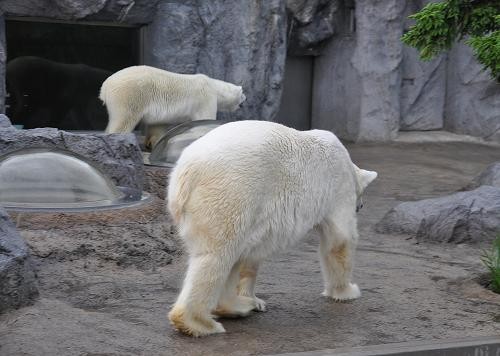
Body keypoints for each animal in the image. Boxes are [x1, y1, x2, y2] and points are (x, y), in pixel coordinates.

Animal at [98, 65, 245, 138]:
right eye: (243, 94)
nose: (245, 100)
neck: (214, 87)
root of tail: (105, 87)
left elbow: (158, 127)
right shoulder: (205, 98)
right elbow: (205, 118)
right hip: (130, 95)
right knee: (124, 120)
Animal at [166, 119, 376, 336]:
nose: (361, 206)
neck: (346, 163)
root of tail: (185, 175)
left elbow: (250, 255)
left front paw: (254, 298)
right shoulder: (338, 187)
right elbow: (340, 239)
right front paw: (348, 291)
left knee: (233, 252)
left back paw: (239, 305)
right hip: (230, 194)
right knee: (216, 255)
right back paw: (201, 323)